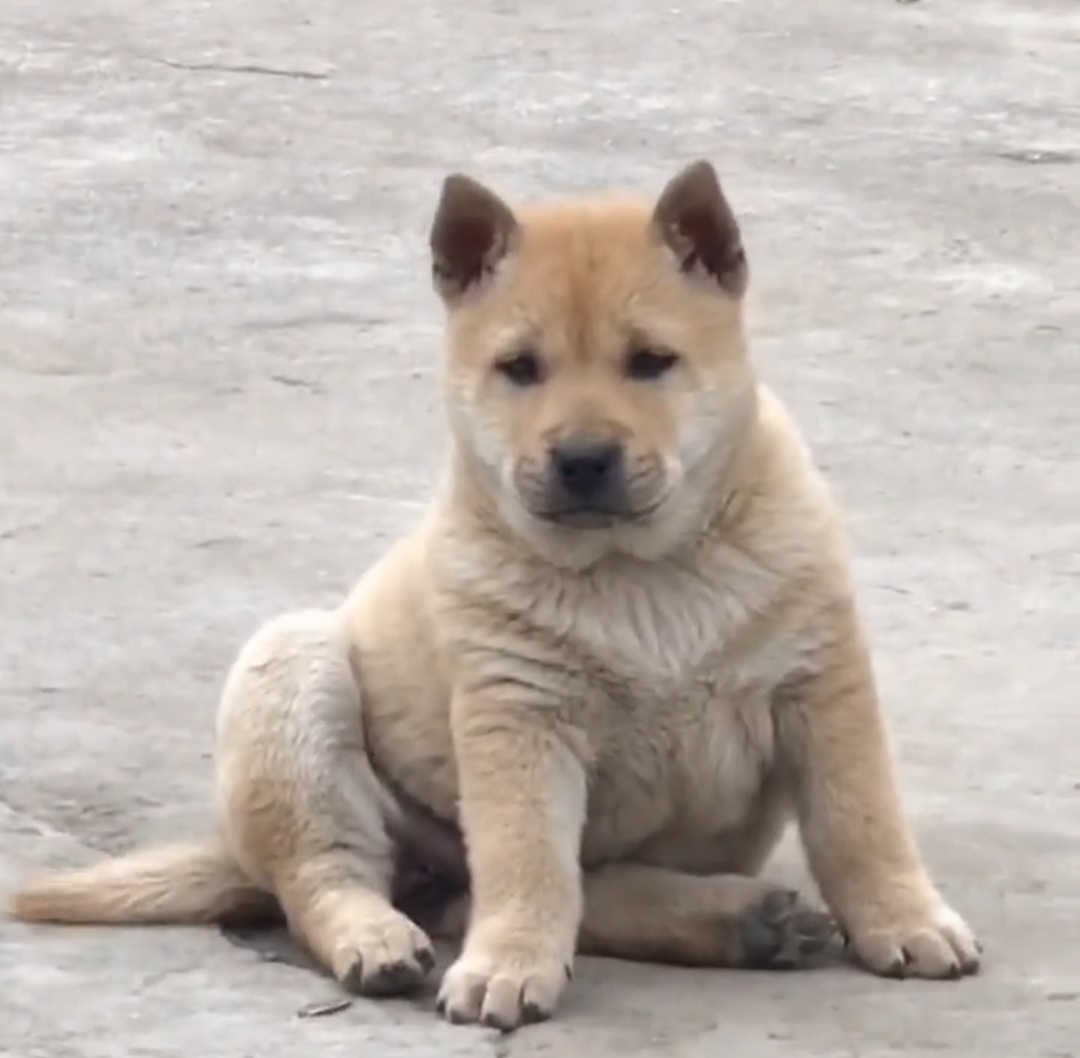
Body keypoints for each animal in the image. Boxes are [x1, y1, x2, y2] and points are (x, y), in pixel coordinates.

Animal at [8, 160, 980, 1027]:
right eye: (521, 368)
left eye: (652, 362)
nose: (583, 458)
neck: (641, 575)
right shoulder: (519, 717)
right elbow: (528, 863)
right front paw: (508, 967)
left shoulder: (821, 684)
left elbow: (862, 822)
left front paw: (906, 919)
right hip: (293, 671)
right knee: (333, 874)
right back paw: (379, 940)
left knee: (531, 892)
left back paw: (741, 920)